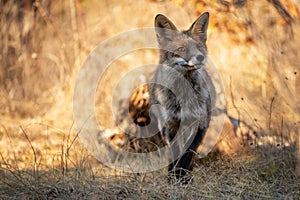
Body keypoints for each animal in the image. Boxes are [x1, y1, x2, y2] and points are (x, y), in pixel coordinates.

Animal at [150, 11, 216, 182]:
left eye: (199, 47)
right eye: (181, 48)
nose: (200, 57)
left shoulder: (201, 123)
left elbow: (188, 154)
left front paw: (184, 178)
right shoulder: (170, 124)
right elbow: (175, 153)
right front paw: (173, 178)